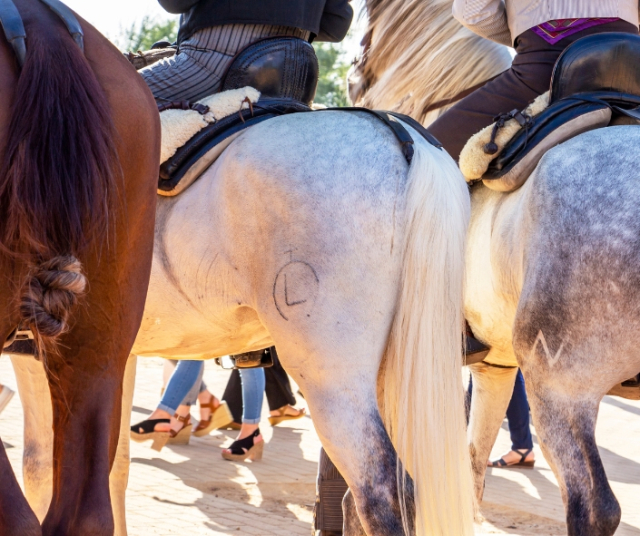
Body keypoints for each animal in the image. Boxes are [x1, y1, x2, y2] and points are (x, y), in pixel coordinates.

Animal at [10, 102, 476, 532]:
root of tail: (398, 131)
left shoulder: (41, 355)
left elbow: (40, 468)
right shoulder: (112, 358)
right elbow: (111, 468)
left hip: (332, 379)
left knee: (381, 495)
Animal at [352, 1, 640, 536]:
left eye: (366, 31)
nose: (354, 77)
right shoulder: (496, 367)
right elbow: (470, 467)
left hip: (560, 387)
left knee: (594, 506)